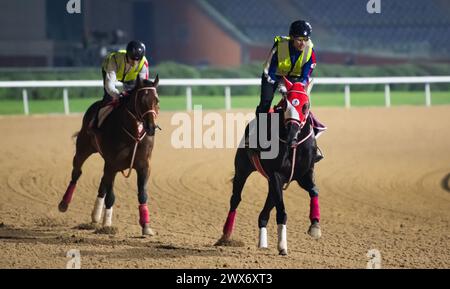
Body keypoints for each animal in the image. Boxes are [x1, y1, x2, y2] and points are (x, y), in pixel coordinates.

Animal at [58, 76, 160, 234]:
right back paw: (64, 203)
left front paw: (146, 226)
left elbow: (143, 194)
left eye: (156, 100)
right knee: (77, 172)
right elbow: (111, 196)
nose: (151, 127)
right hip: (83, 148)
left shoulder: (144, 166)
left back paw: (95, 216)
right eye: (141, 100)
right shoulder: (112, 164)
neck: (133, 135)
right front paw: (107, 225)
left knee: (102, 183)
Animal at [217, 76, 320, 254]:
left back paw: (263, 242)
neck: (293, 146)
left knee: (265, 210)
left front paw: (314, 226)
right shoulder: (276, 175)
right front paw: (283, 246)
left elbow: (314, 191)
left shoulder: (303, 174)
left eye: (305, 106)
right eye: (286, 105)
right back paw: (226, 234)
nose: (292, 134)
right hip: (242, 168)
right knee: (235, 199)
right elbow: (281, 211)